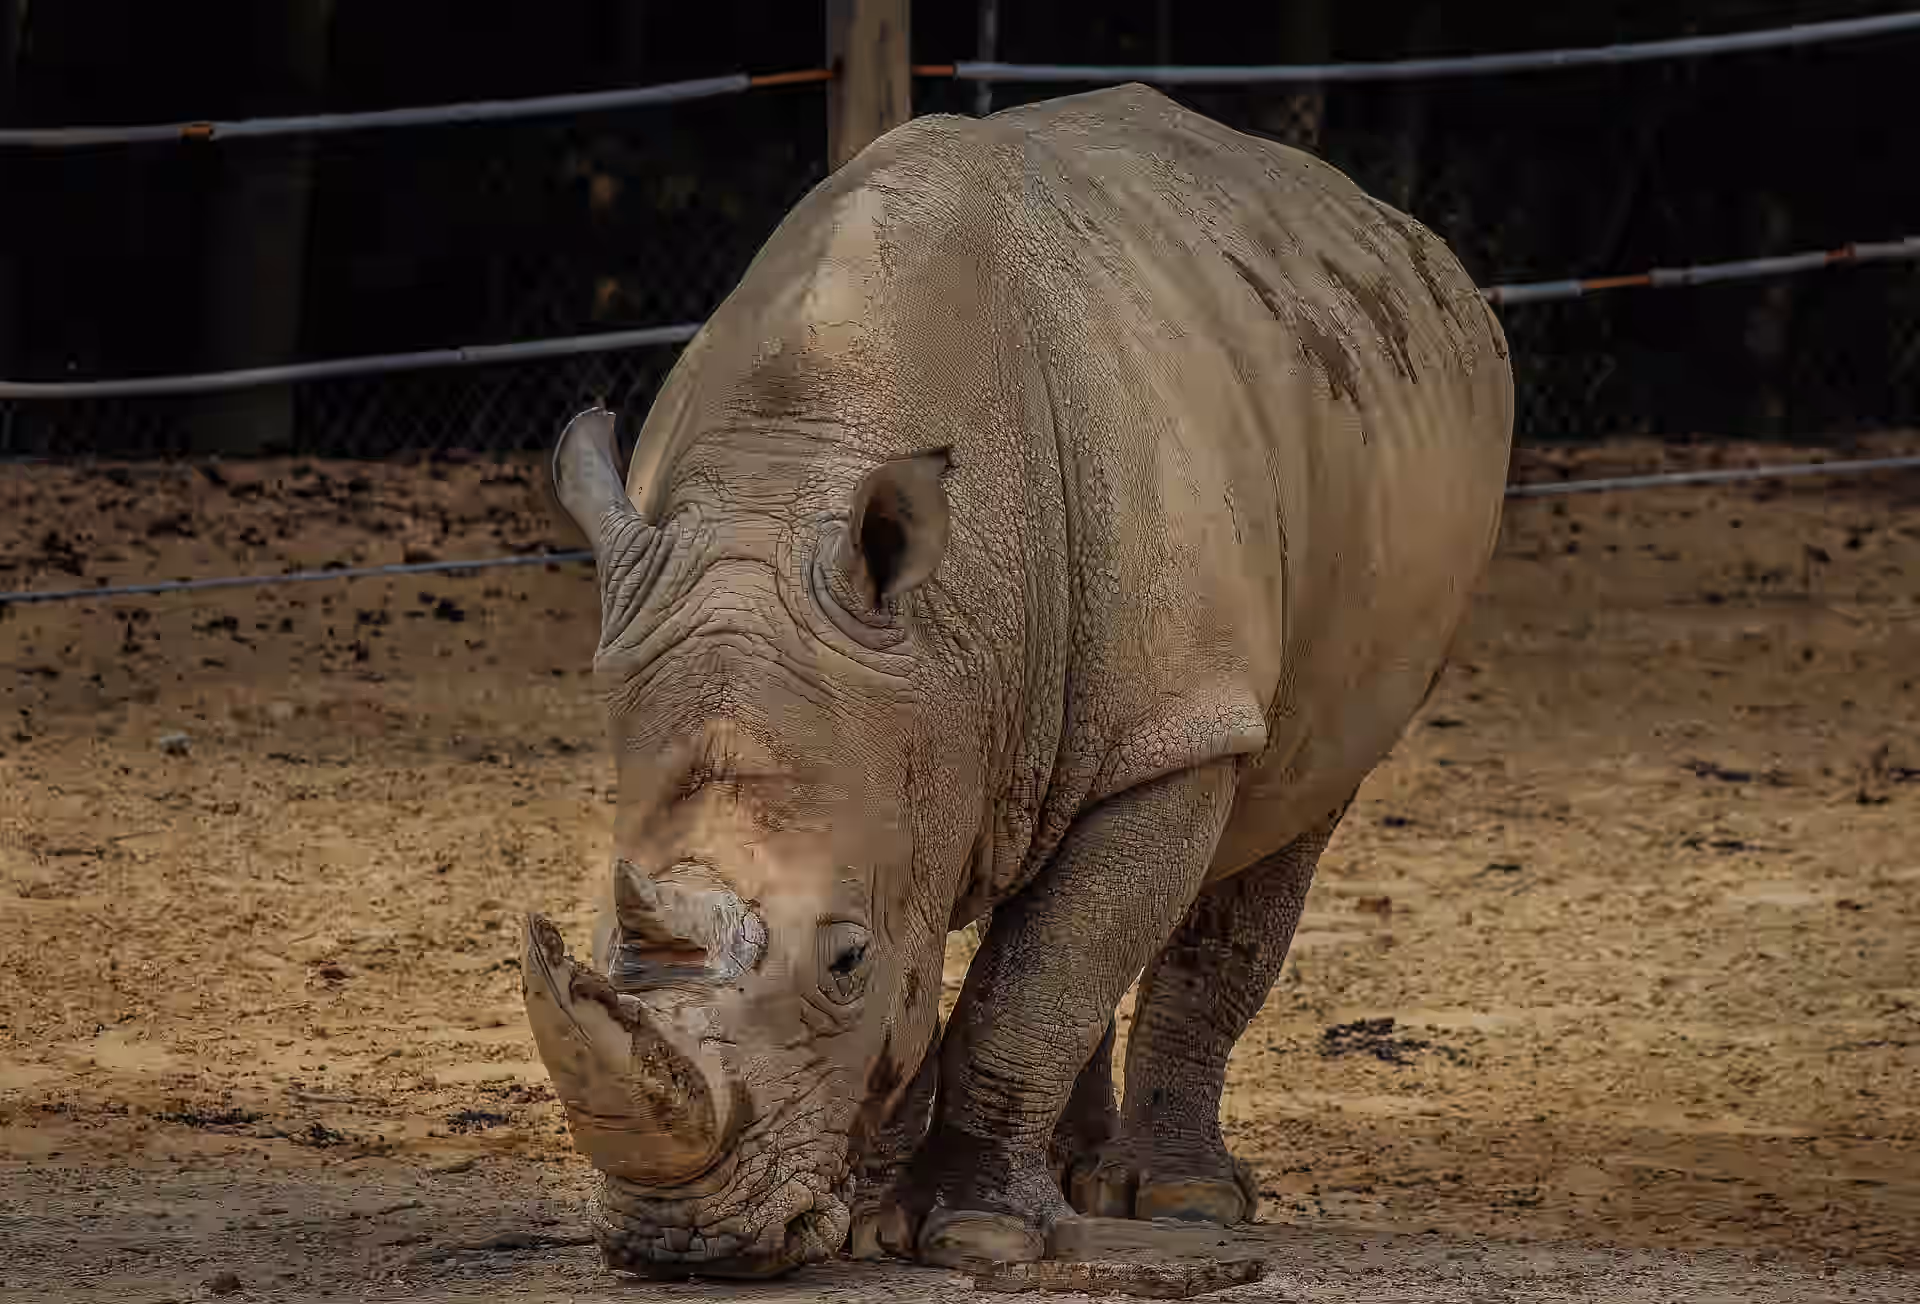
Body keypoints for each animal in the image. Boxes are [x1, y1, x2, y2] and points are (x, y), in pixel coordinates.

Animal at [521, 83, 1512, 1279]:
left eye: (844, 959)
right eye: (599, 942)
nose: (683, 1241)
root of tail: (1407, 241)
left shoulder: (1172, 728)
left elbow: (1023, 984)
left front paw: (975, 1236)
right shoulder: (917, 716)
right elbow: (992, 963)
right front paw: (878, 1218)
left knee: (1284, 811)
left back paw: (1178, 1202)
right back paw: (1073, 1180)